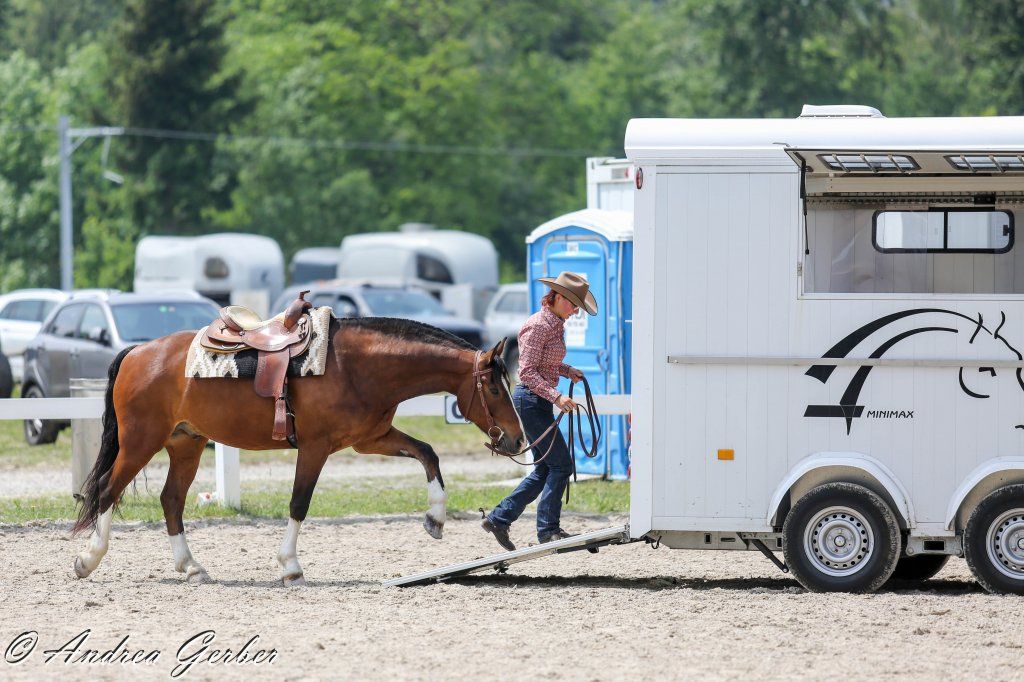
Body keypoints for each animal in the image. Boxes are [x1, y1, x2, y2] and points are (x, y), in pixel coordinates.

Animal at [71, 316, 526, 585]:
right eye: (494, 388)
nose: (518, 439)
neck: (355, 365)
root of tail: (138, 352)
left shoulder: (370, 439)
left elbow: (428, 453)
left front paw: (435, 518)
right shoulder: (315, 447)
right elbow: (299, 503)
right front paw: (290, 566)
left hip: (186, 444)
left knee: (171, 500)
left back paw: (191, 566)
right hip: (141, 442)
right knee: (108, 490)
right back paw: (88, 560)